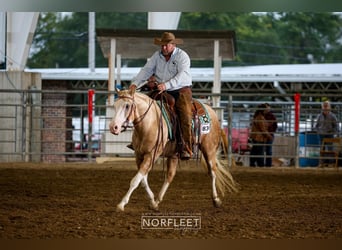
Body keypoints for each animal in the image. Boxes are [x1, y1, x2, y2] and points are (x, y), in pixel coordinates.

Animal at [110, 88, 238, 211]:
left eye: (127, 106)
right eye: (115, 105)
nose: (113, 127)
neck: (149, 123)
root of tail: (211, 111)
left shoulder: (151, 155)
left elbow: (135, 181)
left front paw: (121, 204)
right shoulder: (139, 155)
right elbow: (143, 180)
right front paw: (152, 202)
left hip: (209, 149)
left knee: (212, 172)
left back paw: (216, 200)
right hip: (174, 155)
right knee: (170, 176)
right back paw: (157, 200)